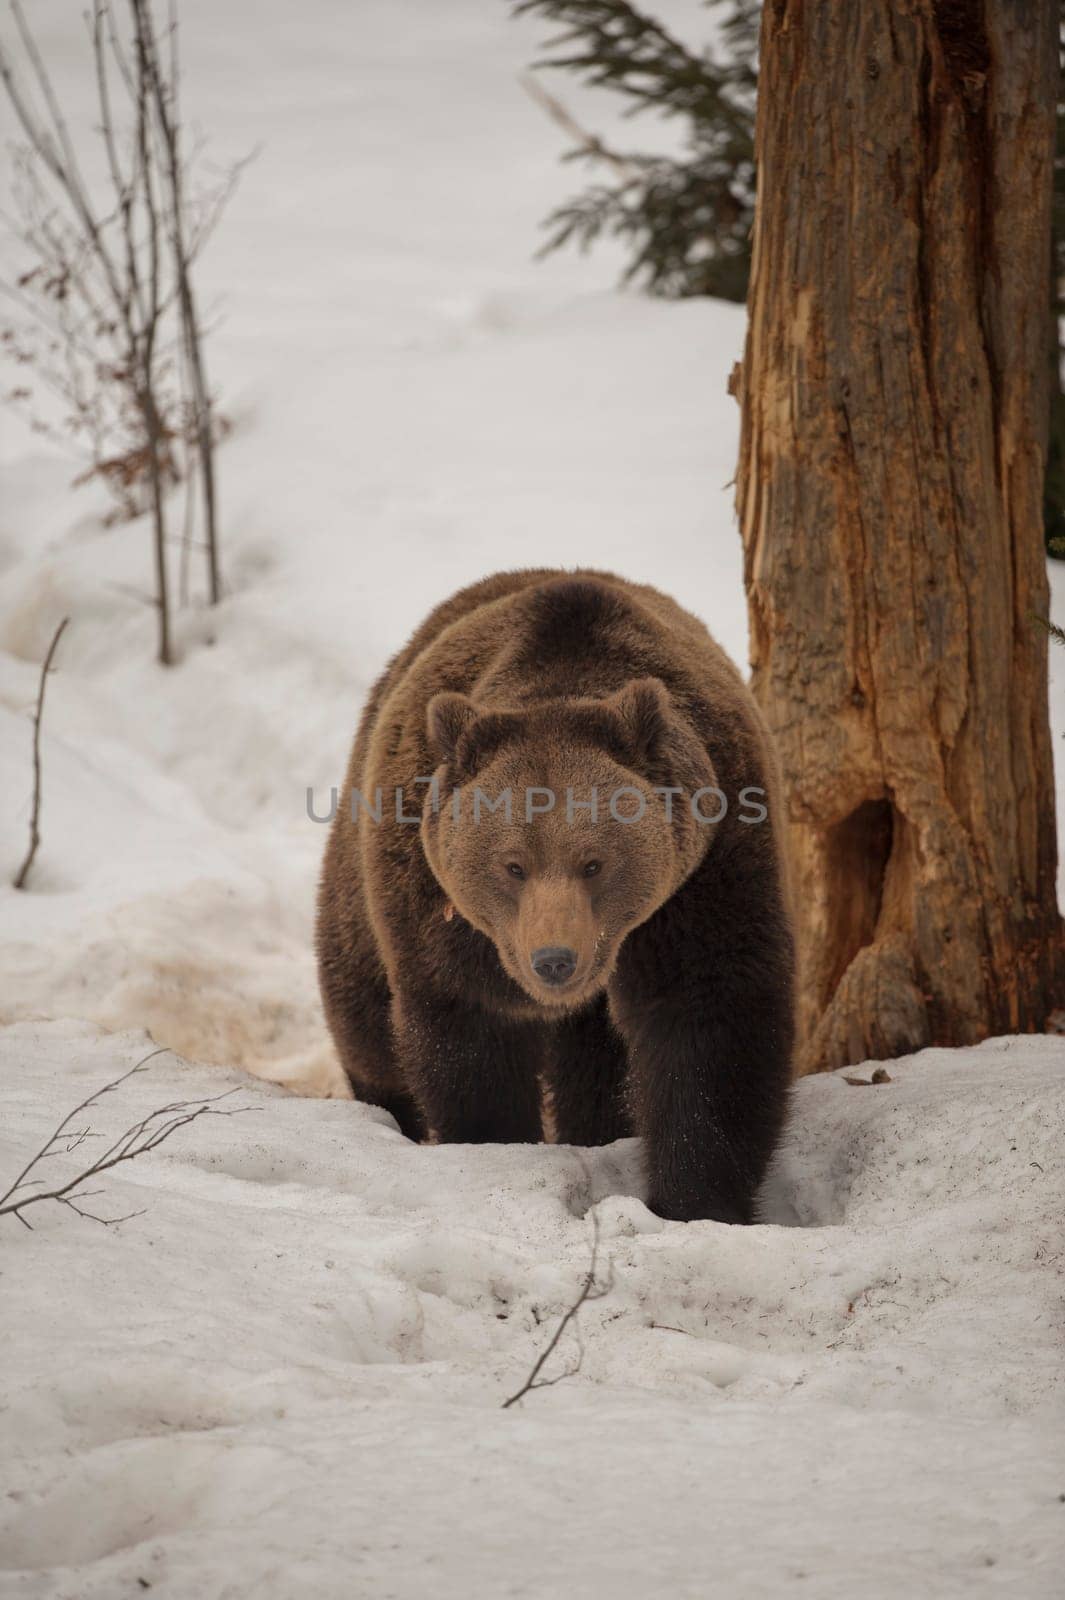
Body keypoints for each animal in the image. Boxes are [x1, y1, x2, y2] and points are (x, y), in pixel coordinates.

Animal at [319, 569, 793, 1216]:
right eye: (513, 865)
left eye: (594, 862)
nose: (554, 960)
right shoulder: (436, 901)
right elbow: (469, 1034)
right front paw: (494, 1145)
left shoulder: (710, 867)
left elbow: (710, 1018)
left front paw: (695, 1200)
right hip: (359, 878)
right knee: (363, 1017)